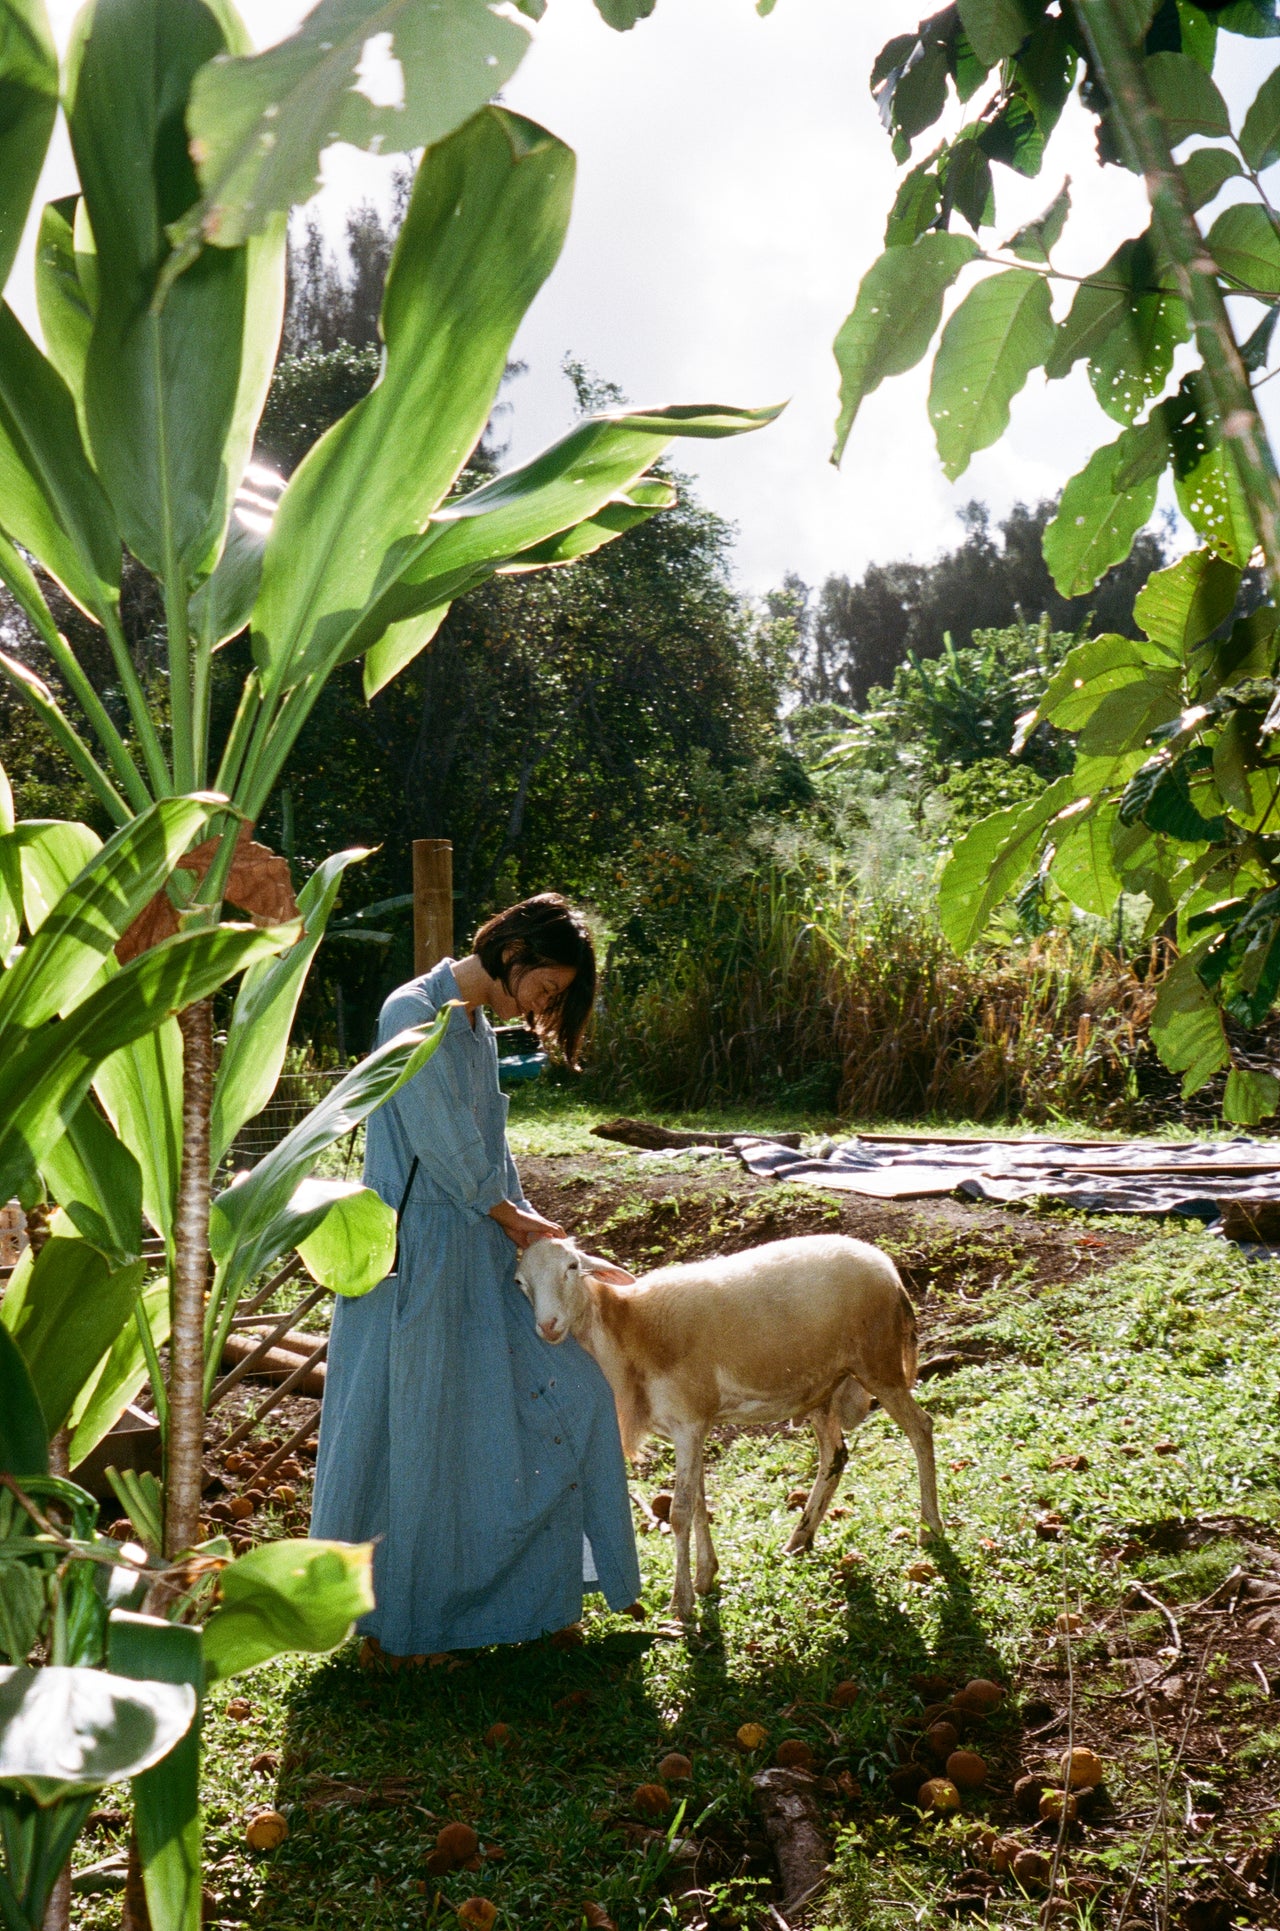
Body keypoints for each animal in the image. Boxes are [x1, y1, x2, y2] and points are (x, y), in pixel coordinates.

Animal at [517, 1228, 946, 1622]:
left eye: (572, 1267)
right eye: (520, 1283)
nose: (548, 1326)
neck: (628, 1332)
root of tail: (888, 1268)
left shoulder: (689, 1423)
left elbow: (680, 1511)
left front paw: (681, 1603)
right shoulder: (689, 1427)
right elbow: (699, 1502)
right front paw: (706, 1577)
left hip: (878, 1363)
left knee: (920, 1428)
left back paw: (930, 1528)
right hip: (824, 1384)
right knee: (835, 1455)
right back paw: (800, 1538)